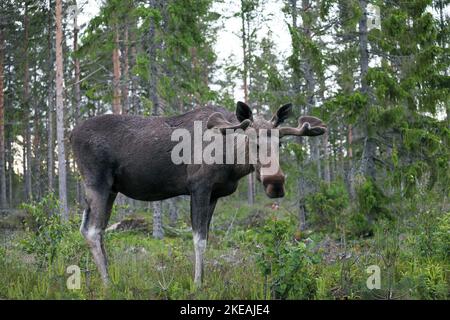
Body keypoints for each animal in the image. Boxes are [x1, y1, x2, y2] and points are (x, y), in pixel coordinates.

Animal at [72, 102, 326, 288]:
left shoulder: (214, 194)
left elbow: (206, 238)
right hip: (98, 182)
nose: (276, 184)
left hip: (110, 189)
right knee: (92, 230)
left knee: (92, 229)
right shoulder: (199, 187)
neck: (230, 161)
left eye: (280, 143)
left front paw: (201, 279)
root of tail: (70, 135)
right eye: (251, 140)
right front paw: (197, 284)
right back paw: (107, 284)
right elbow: (199, 239)